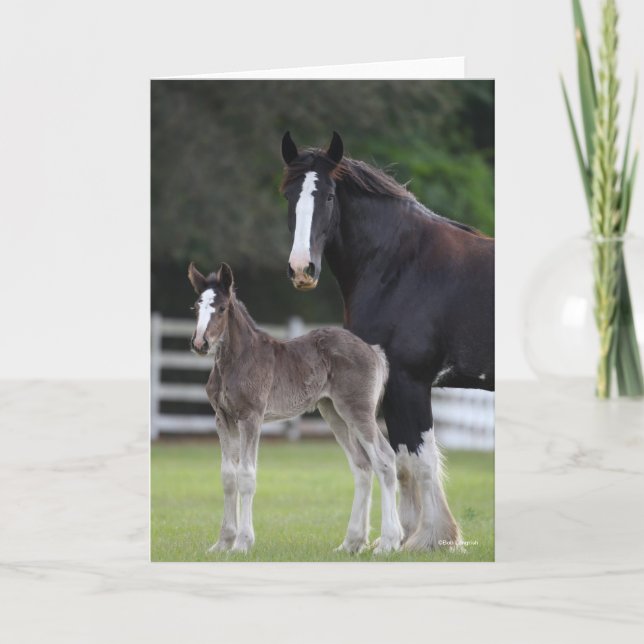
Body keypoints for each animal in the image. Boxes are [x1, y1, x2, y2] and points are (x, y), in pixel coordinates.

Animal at [188, 261, 404, 554]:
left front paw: (243, 543)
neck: (236, 360)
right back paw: (351, 543)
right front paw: (223, 543)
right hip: (334, 413)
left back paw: (389, 541)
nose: (200, 343)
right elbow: (228, 477)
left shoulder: (251, 418)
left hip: (358, 411)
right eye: (196, 306)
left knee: (384, 459)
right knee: (362, 466)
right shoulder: (223, 419)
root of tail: (373, 350)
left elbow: (246, 476)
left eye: (221, 308)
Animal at [280, 131, 494, 551]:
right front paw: (410, 536)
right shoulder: (394, 387)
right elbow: (404, 461)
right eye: (289, 195)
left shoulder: (409, 382)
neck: (402, 266)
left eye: (328, 196)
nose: (302, 269)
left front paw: (427, 537)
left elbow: (420, 459)